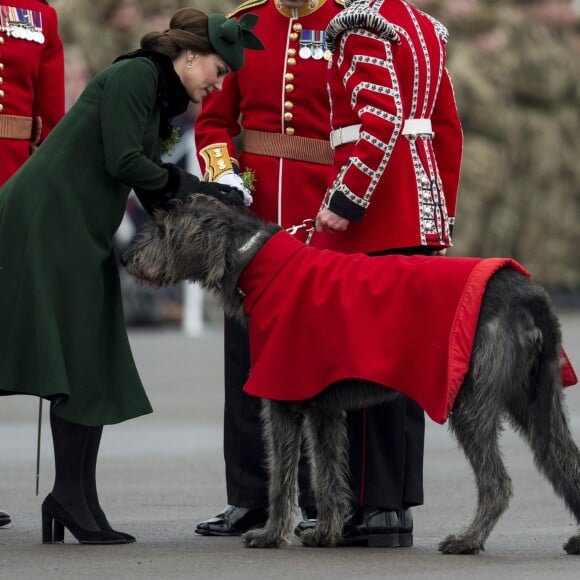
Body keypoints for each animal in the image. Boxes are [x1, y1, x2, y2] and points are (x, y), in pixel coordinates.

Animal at [123, 196, 580, 556]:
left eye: (163, 228)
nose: (126, 258)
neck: (258, 260)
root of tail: (529, 292)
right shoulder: (324, 409)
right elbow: (328, 474)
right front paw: (326, 533)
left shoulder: (281, 399)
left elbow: (282, 477)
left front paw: (270, 535)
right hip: (537, 402)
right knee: (564, 459)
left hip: (471, 403)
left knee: (497, 482)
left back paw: (468, 540)